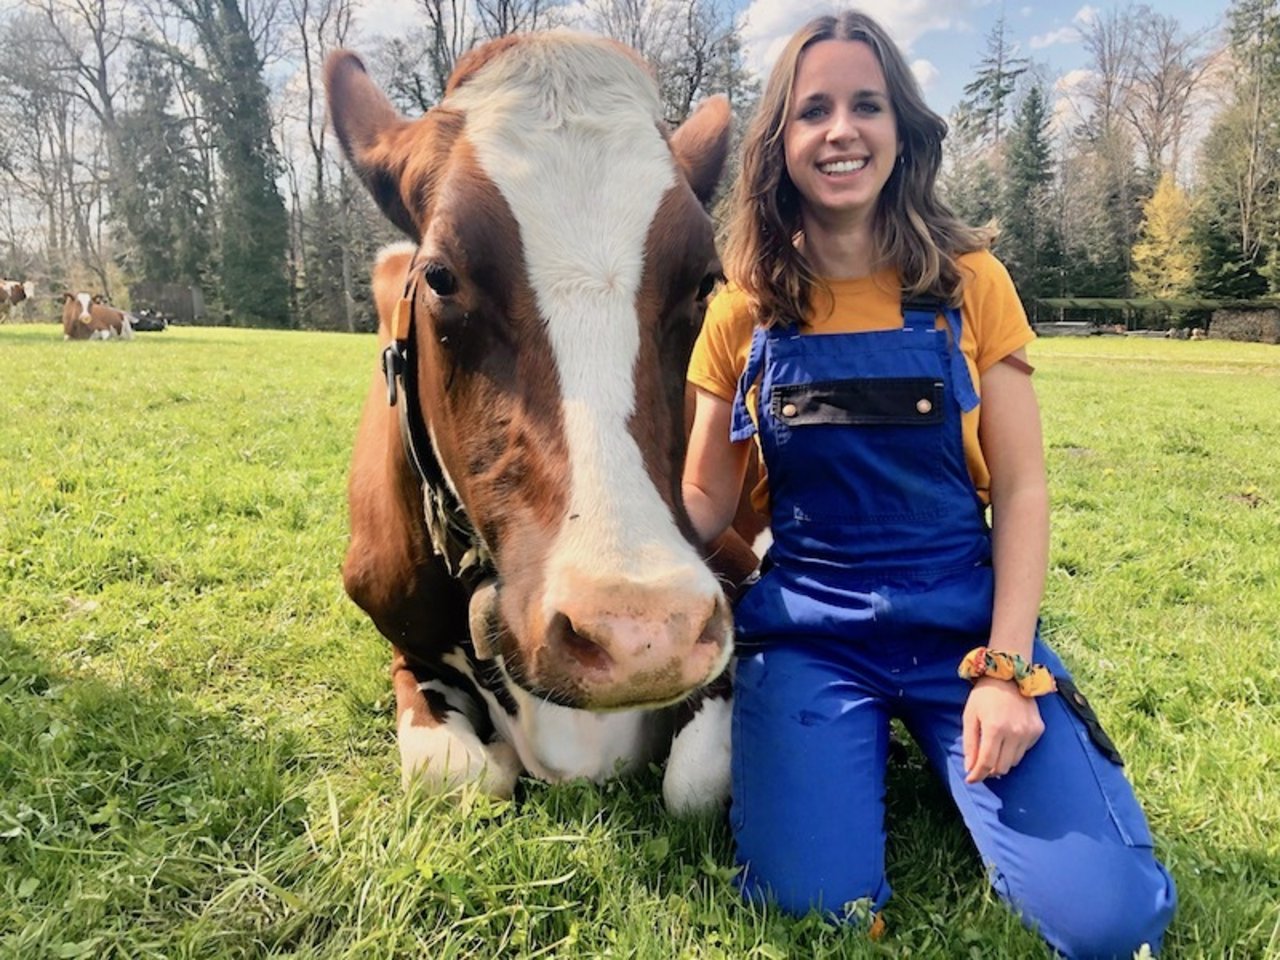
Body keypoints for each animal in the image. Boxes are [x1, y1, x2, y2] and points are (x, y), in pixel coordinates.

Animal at [327, 32, 747, 814]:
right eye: (440, 276)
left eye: (706, 280)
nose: (642, 636)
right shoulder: (401, 637)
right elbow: (457, 775)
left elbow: (698, 780)